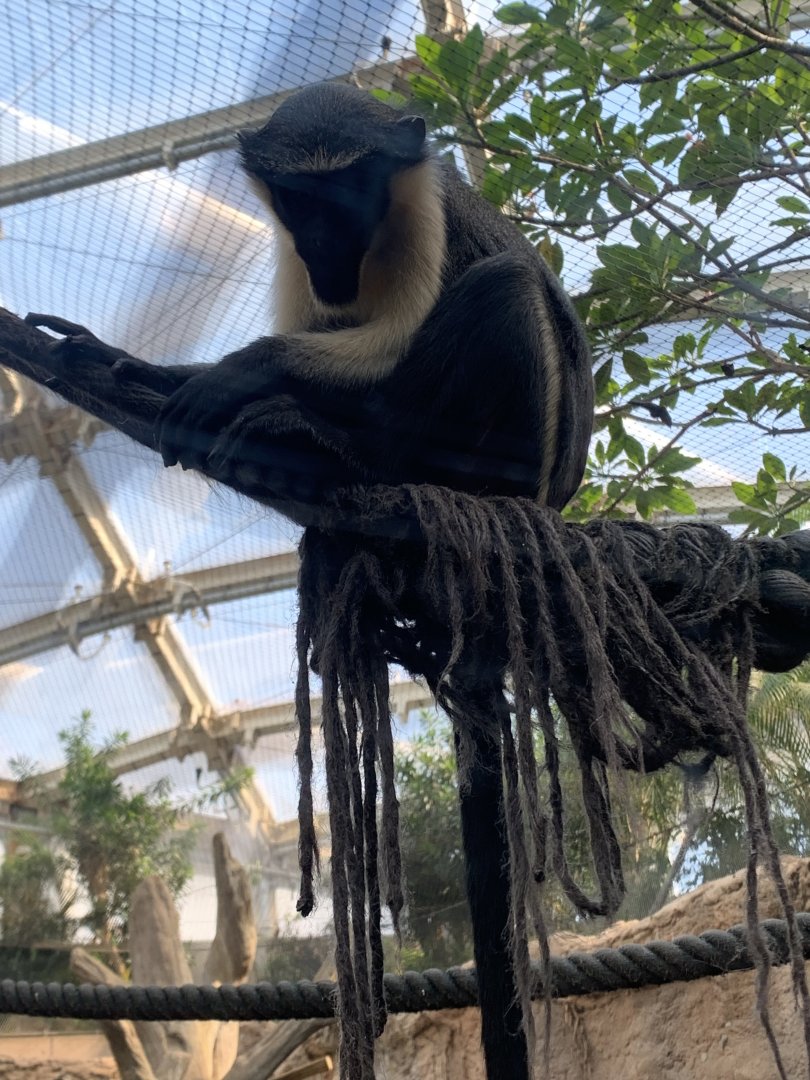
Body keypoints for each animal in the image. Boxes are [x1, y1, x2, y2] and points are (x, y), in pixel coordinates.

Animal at [27, 81, 593, 1079]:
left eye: (353, 196)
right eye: (300, 204)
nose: (329, 255)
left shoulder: (419, 203)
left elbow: (387, 335)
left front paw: (242, 370)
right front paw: (126, 361)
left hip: (513, 452)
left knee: (505, 289)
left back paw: (347, 449)